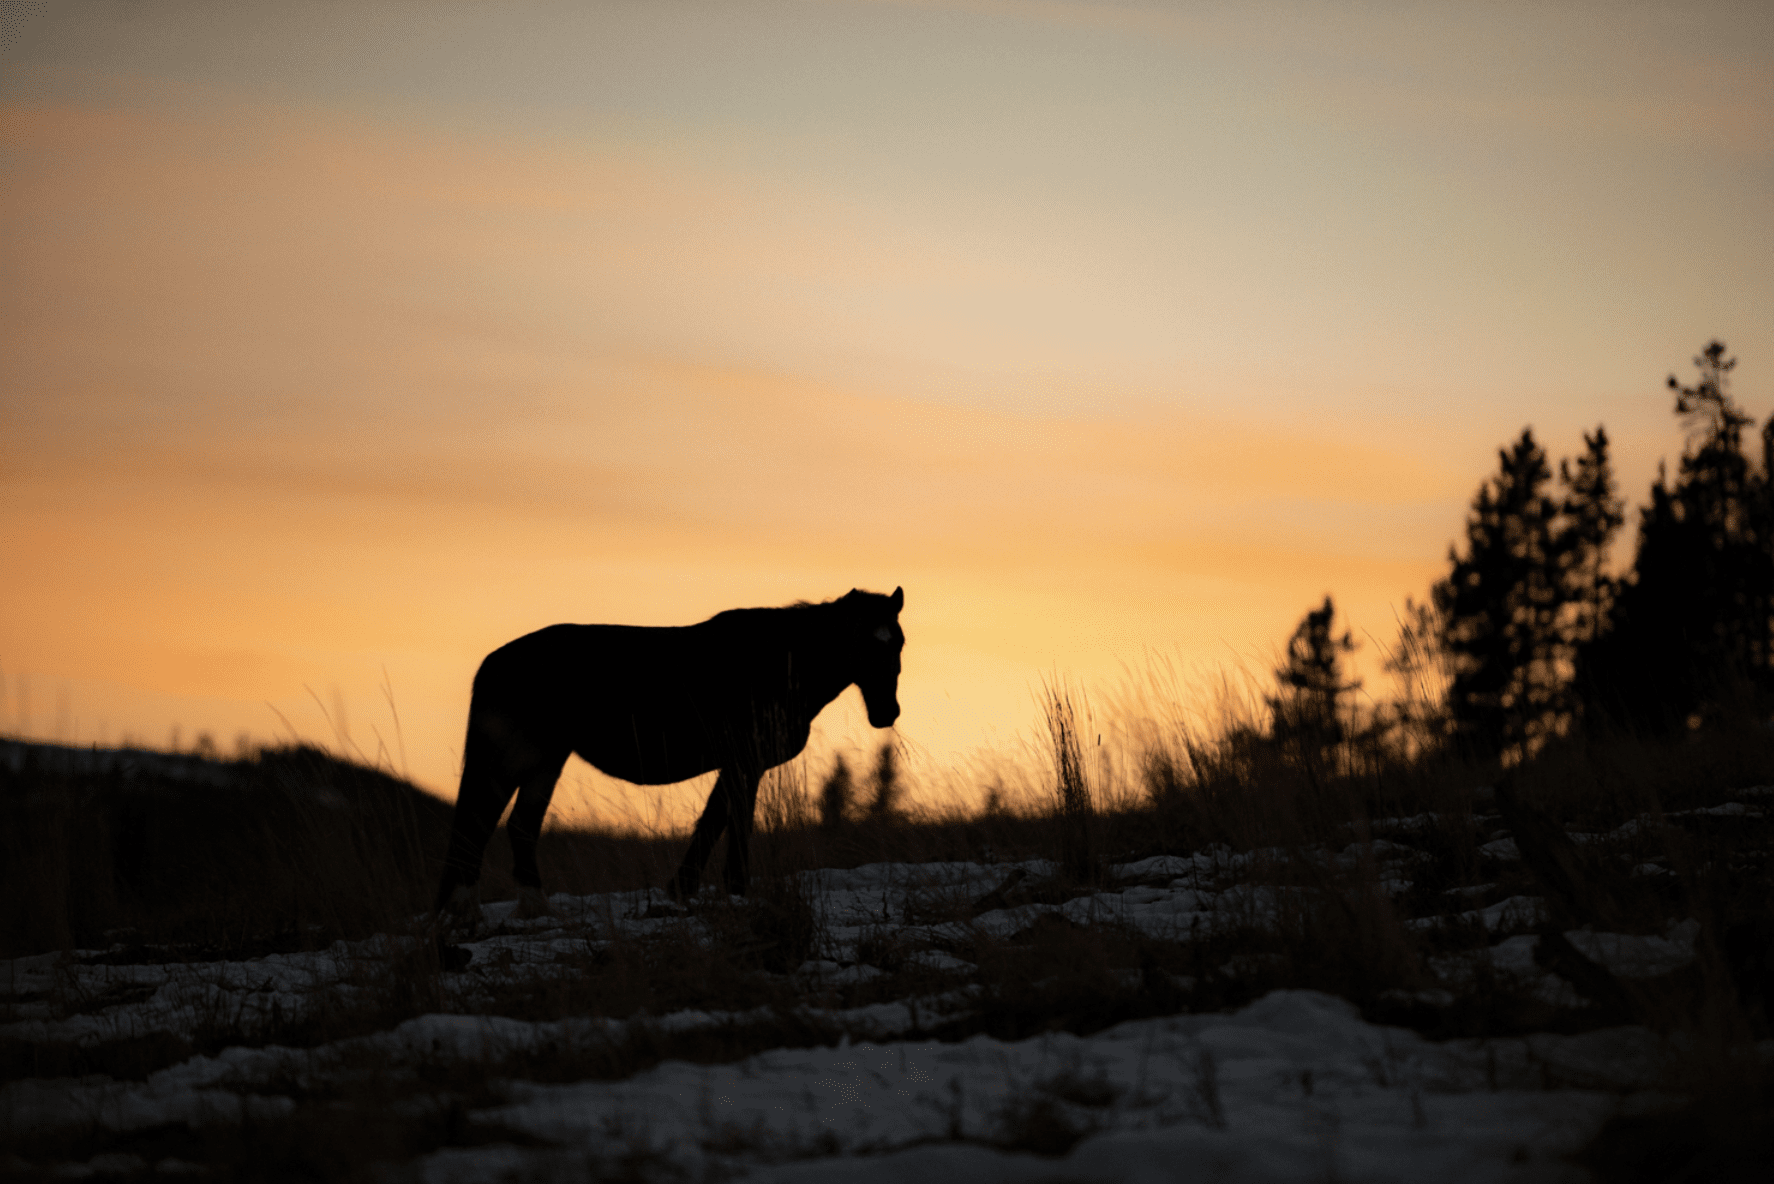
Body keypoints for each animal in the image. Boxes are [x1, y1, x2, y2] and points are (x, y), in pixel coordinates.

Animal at [429, 589, 901, 923]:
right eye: (862, 642)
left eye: (897, 642)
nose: (887, 713)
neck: (778, 662)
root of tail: (494, 663)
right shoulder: (744, 763)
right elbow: (730, 823)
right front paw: (724, 889)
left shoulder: (740, 766)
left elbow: (716, 821)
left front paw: (691, 889)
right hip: (515, 757)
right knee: (478, 821)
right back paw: (465, 909)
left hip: (546, 760)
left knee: (519, 825)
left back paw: (533, 908)